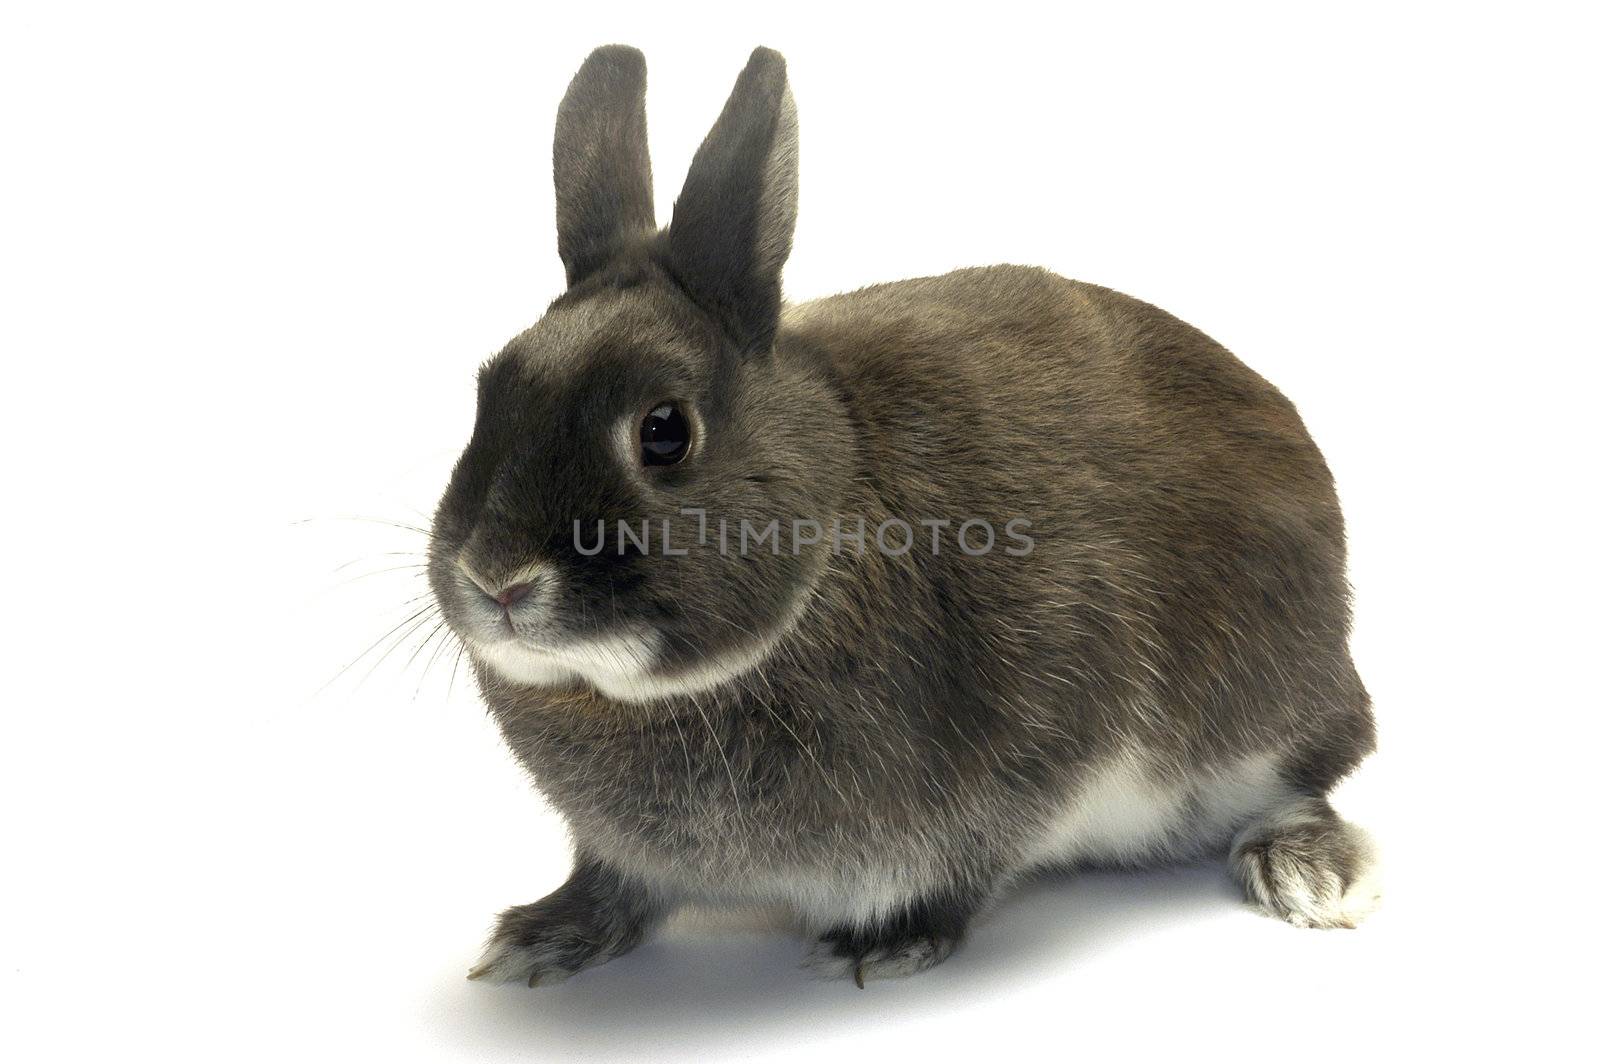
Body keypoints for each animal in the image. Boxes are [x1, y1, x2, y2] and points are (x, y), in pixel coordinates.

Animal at [425, 43, 1376, 985]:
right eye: (488, 392)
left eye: (664, 431)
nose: (498, 579)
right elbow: (613, 883)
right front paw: (543, 936)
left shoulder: (1037, 745)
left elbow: (967, 865)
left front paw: (887, 940)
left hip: (1270, 707)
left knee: (1308, 781)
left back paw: (1309, 874)